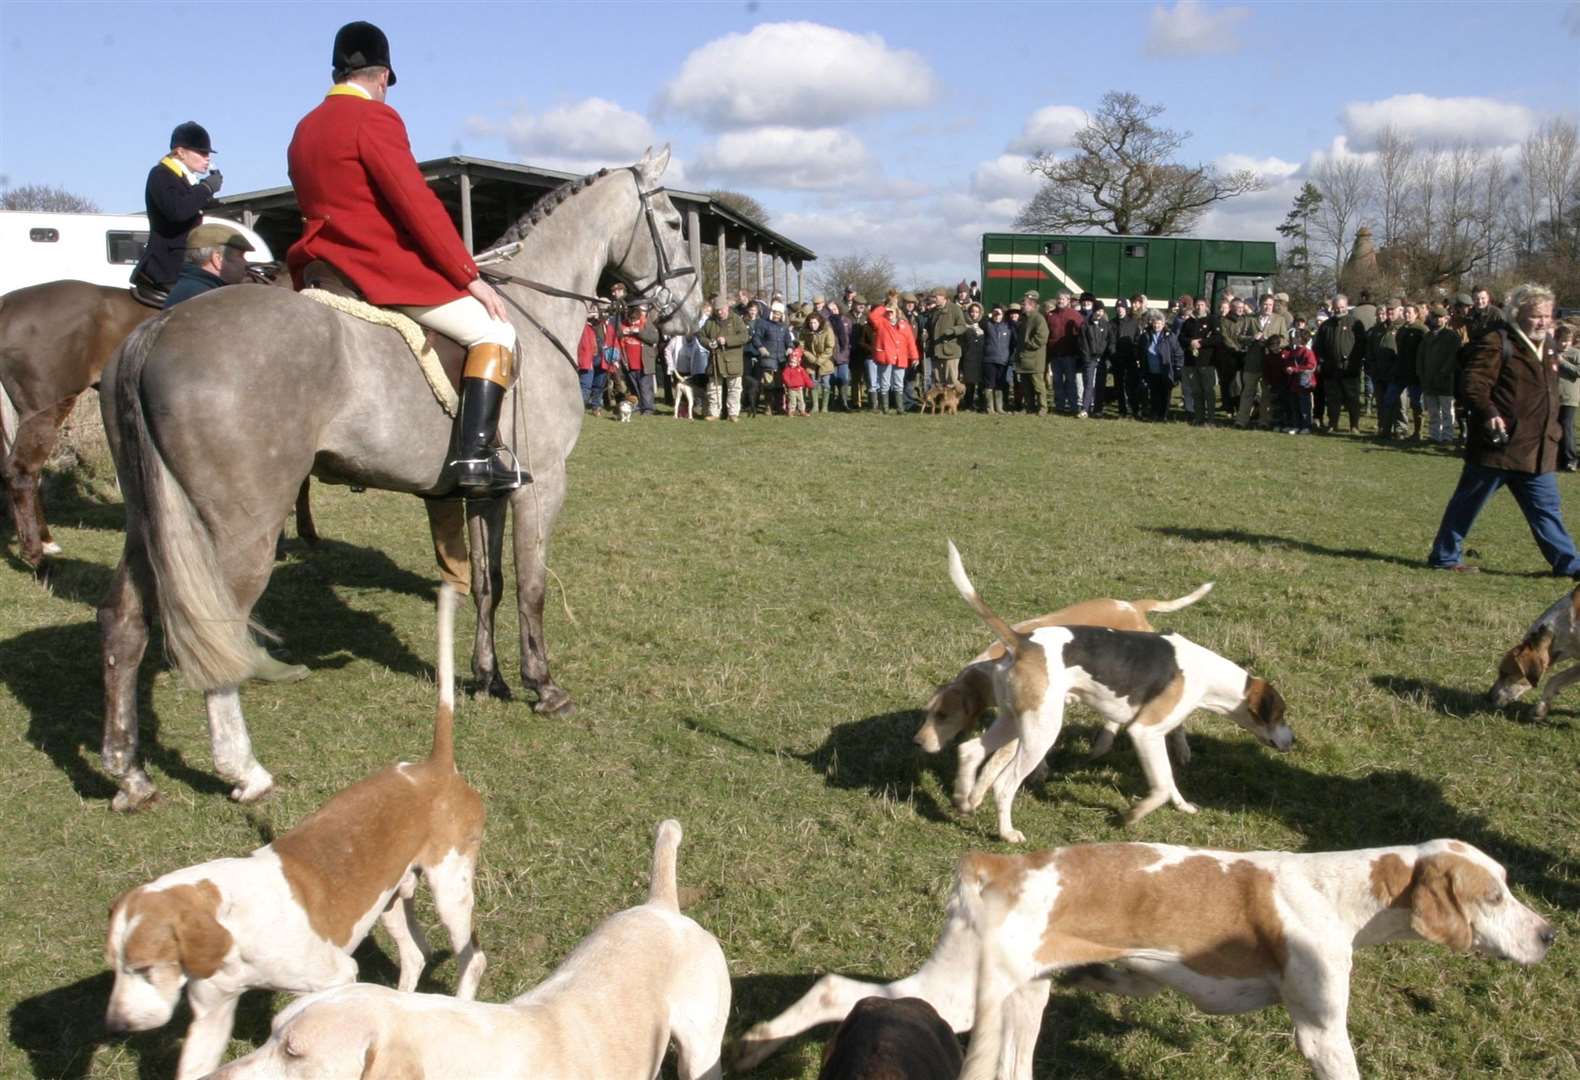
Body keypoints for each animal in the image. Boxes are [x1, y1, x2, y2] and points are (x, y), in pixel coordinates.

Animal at [94, 150, 698, 808]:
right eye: (672, 222)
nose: (688, 317)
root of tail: (155, 331)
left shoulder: (488, 492)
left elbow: (488, 585)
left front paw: (487, 679)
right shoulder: (541, 487)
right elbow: (531, 587)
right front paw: (543, 686)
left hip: (152, 521)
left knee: (123, 622)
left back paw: (129, 774)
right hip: (237, 531)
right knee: (217, 632)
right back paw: (243, 770)